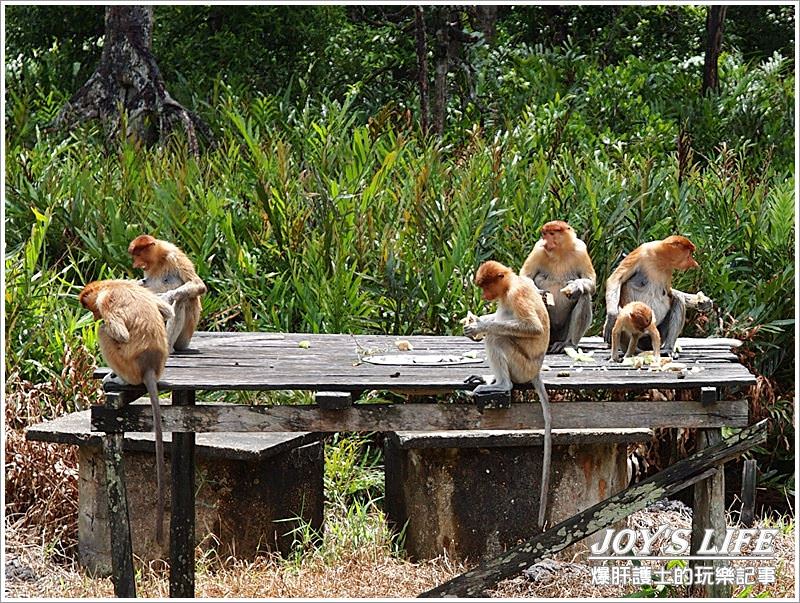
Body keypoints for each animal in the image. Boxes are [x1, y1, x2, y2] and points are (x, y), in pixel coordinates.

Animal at [79, 280, 174, 544]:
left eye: (92, 307)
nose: (94, 316)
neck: (111, 284)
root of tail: (149, 367)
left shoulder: (106, 300)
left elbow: (118, 334)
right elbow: (167, 311)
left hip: (127, 365)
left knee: (105, 332)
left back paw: (117, 378)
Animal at [462, 260, 552, 528]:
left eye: (486, 285)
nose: (484, 295)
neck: (511, 283)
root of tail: (536, 371)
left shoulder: (516, 295)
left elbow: (532, 328)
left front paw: (479, 325)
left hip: (521, 367)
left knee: (499, 338)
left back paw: (501, 384)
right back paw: (488, 379)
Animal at [520, 221, 592, 354]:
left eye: (552, 234)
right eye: (544, 234)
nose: (545, 243)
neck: (560, 252)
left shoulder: (581, 250)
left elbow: (590, 281)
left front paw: (575, 287)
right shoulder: (538, 249)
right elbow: (525, 276)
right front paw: (539, 294)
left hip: (562, 333)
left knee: (584, 295)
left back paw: (567, 344)